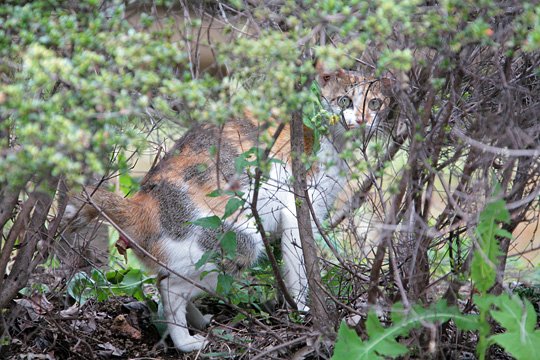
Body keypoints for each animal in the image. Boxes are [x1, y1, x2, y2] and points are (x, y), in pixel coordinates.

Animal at [63, 64, 392, 352]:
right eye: (345, 100)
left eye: (374, 103)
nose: (362, 119)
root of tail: (138, 204)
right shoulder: (296, 209)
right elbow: (300, 269)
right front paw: (305, 310)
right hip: (236, 243)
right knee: (169, 291)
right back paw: (187, 342)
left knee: (164, 281)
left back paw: (200, 321)